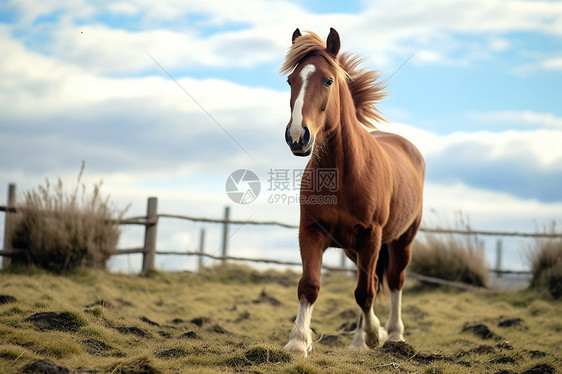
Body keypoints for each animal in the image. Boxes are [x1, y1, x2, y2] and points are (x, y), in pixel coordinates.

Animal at [280, 28, 424, 356]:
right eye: (291, 81)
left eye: (328, 81)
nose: (297, 136)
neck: (343, 174)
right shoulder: (310, 232)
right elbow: (309, 285)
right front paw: (298, 342)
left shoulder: (371, 237)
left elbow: (365, 292)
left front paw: (376, 333)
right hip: (354, 249)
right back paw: (359, 342)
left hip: (401, 241)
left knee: (393, 281)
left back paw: (393, 334)